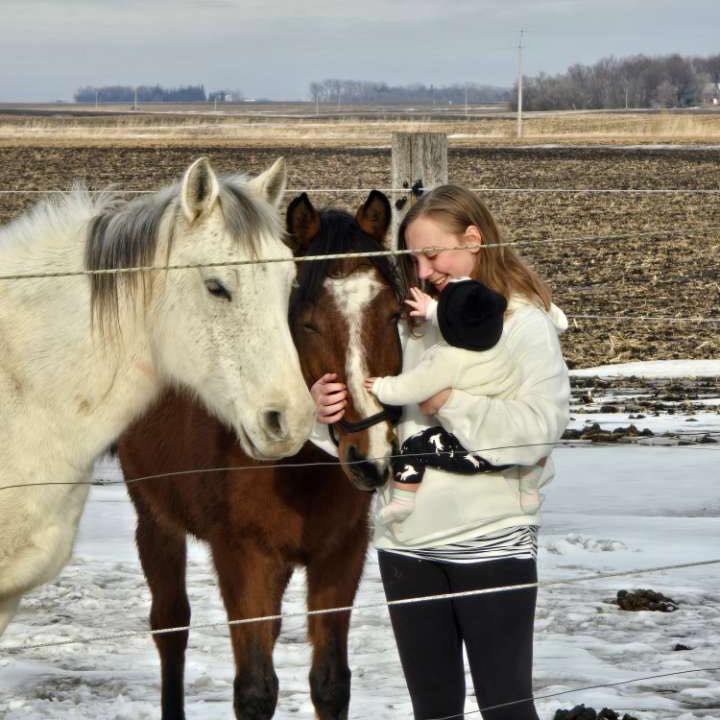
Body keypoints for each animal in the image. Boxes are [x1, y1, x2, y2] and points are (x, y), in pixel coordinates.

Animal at [116, 189, 403, 720]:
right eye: (307, 323)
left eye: (394, 314)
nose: (369, 457)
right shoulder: (242, 556)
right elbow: (254, 689)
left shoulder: (341, 552)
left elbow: (330, 682)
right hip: (156, 521)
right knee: (171, 627)